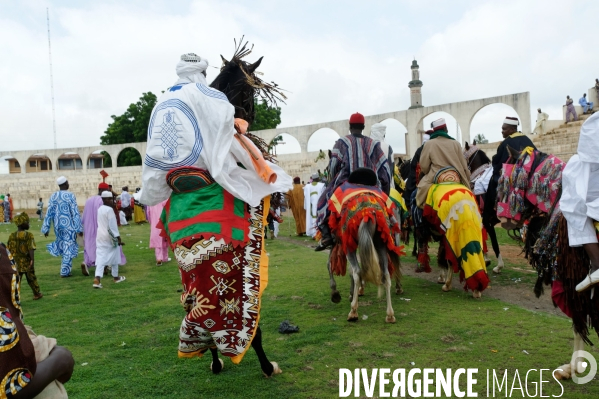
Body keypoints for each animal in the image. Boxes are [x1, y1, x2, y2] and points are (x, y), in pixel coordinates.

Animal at [326, 167, 406, 324]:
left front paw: (337, 294)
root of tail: (369, 212)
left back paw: (353, 312)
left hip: (351, 246)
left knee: (357, 271)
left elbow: (333, 265)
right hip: (381, 242)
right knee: (386, 273)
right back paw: (390, 314)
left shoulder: (343, 243)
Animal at [500, 146, 596, 382]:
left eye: (503, 180)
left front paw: (574, 367)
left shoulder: (574, 287)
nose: (503, 220)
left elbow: (578, 325)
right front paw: (573, 367)